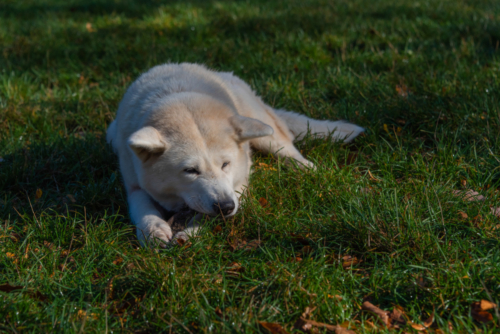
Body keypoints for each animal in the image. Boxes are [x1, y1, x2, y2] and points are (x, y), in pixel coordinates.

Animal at [106, 62, 364, 247]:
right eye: (190, 170)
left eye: (226, 164)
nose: (227, 207)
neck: (178, 96)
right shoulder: (134, 185)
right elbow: (143, 208)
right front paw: (154, 230)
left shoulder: (239, 186)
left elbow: (209, 215)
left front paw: (191, 233)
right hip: (111, 134)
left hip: (264, 132)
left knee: (288, 147)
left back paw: (308, 169)